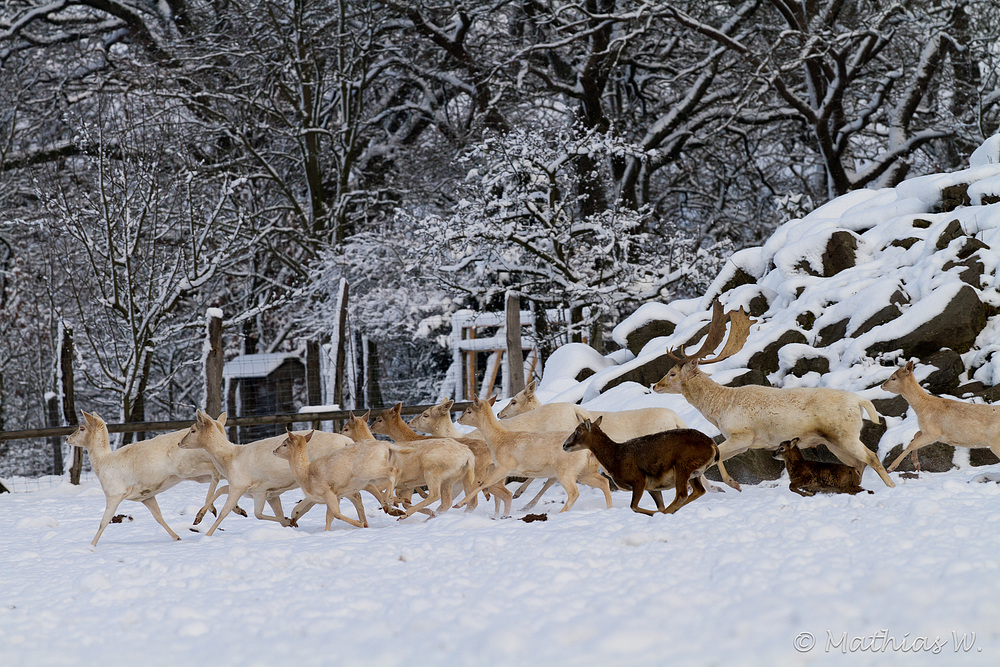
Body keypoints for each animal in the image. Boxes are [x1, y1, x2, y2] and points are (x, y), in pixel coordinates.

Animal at [66, 412, 223, 548]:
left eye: (81, 428)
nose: (68, 439)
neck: (102, 464)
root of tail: (219, 427)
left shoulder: (114, 493)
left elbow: (104, 521)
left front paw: (91, 546)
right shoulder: (146, 496)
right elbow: (158, 516)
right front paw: (177, 537)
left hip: (190, 467)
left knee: (216, 473)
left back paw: (205, 512)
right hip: (195, 473)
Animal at [452, 396, 608, 512]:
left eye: (469, 411)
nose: (459, 419)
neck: (498, 441)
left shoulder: (504, 466)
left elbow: (484, 483)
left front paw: (459, 504)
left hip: (566, 470)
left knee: (573, 492)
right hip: (584, 471)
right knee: (603, 482)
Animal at [564, 418, 720, 516]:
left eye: (578, 431)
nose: (565, 445)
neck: (615, 458)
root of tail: (712, 445)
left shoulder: (639, 480)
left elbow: (633, 506)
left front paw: (657, 514)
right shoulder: (653, 488)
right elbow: (659, 505)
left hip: (682, 467)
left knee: (681, 494)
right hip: (694, 474)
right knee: (699, 491)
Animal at [652, 300, 896, 494]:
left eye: (672, 373)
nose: (656, 385)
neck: (721, 408)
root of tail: (860, 401)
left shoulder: (742, 434)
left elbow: (716, 456)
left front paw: (732, 484)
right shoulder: (745, 444)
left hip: (844, 434)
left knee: (871, 457)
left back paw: (891, 487)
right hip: (832, 441)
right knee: (858, 463)